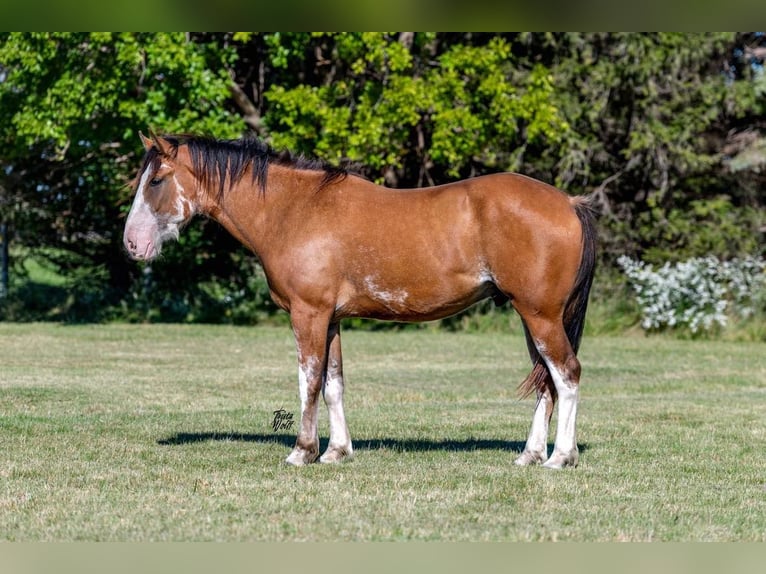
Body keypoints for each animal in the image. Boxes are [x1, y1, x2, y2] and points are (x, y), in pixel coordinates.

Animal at [123, 134, 596, 472]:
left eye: (156, 180)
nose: (131, 244)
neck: (293, 210)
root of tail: (569, 202)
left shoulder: (308, 314)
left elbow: (308, 382)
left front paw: (302, 452)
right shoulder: (331, 319)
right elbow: (334, 384)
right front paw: (337, 452)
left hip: (540, 315)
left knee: (567, 374)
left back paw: (561, 457)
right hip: (531, 317)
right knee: (547, 383)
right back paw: (530, 455)